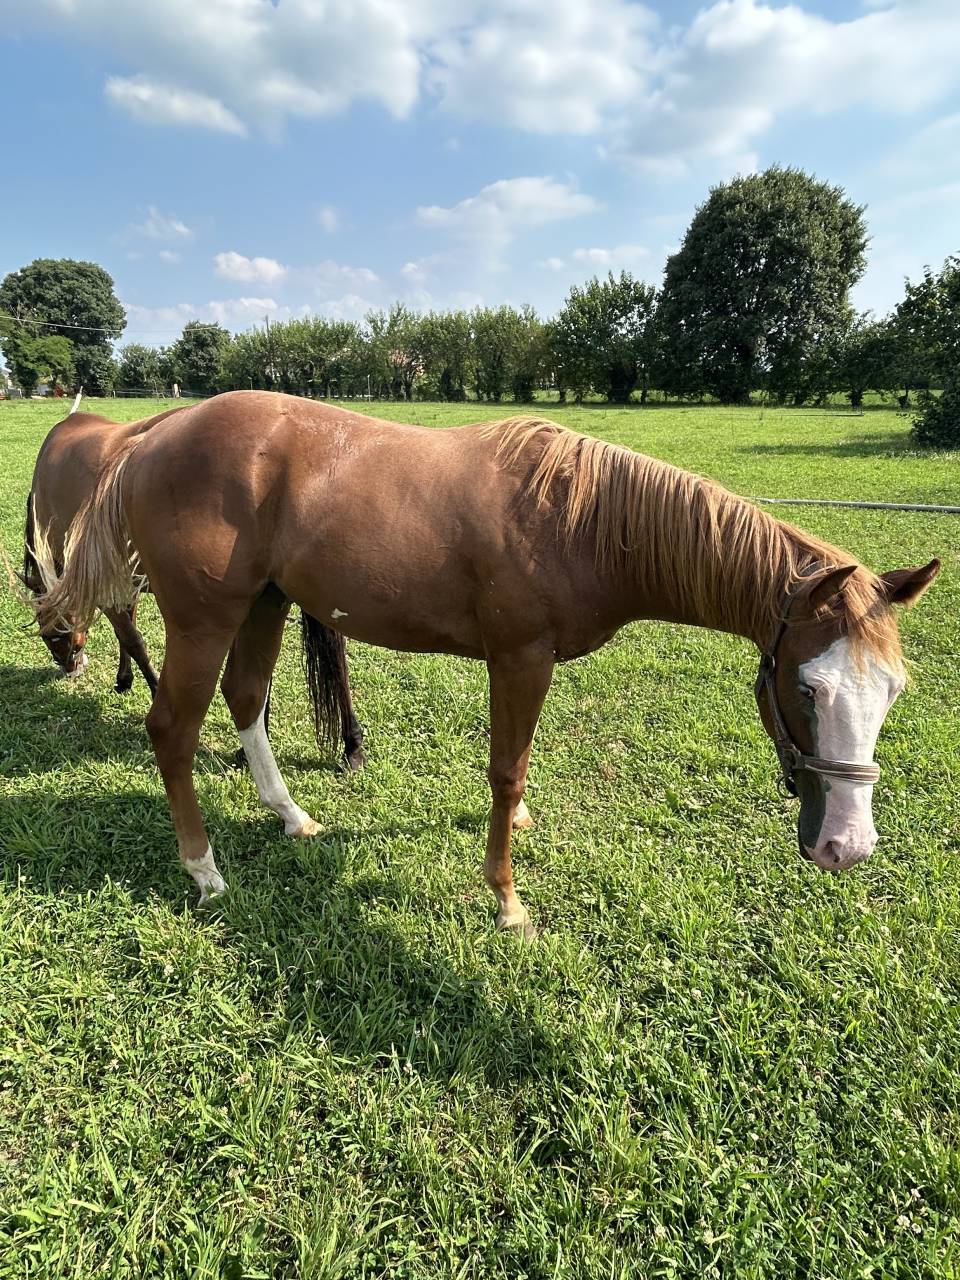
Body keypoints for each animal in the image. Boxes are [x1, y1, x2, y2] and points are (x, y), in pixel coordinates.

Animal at [24, 404, 366, 768]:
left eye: (51, 635)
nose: (70, 667)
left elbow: (132, 639)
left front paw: (151, 687)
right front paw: (124, 679)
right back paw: (345, 741)